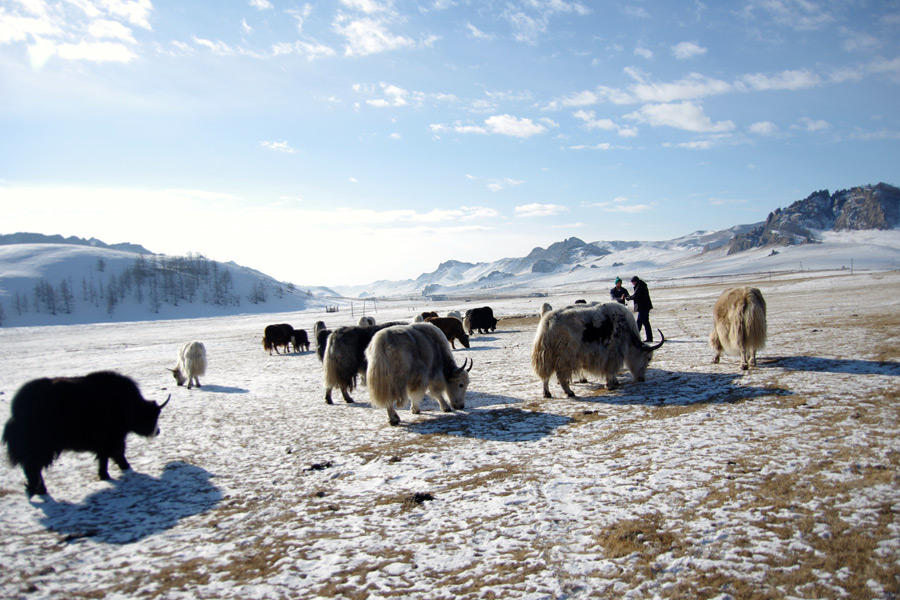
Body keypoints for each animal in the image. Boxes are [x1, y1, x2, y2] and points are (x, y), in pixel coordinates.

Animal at [2, 370, 169, 496]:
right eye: (153, 416)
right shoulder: (114, 437)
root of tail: (17, 411)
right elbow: (117, 453)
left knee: (32, 468)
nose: (158, 431)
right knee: (33, 468)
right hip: (43, 447)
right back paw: (38, 490)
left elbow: (104, 457)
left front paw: (105, 475)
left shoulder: (105, 441)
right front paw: (124, 468)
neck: (132, 406)